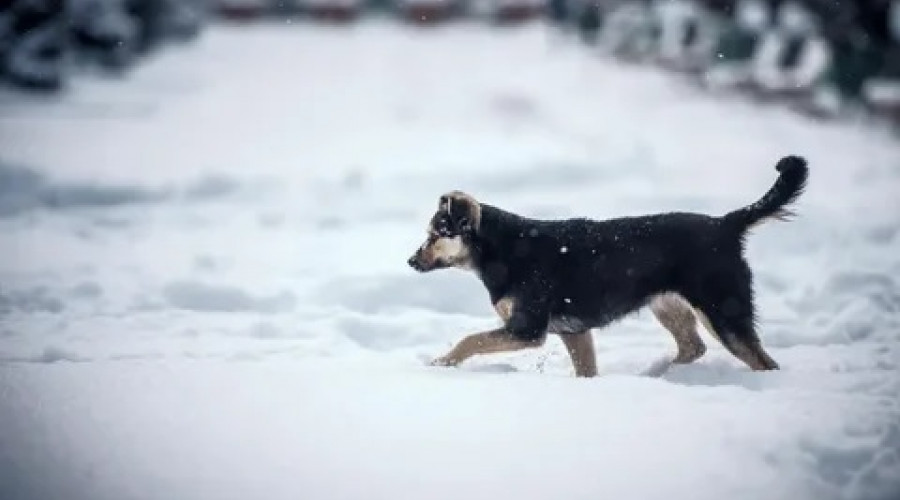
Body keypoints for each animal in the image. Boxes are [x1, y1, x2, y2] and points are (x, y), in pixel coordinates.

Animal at [408, 154, 808, 376]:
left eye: (435, 234)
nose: (410, 261)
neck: (501, 250)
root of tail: (725, 224)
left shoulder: (528, 330)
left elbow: (469, 340)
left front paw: (439, 365)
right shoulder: (574, 332)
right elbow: (586, 370)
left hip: (723, 311)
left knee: (762, 361)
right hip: (668, 305)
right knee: (693, 347)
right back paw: (659, 374)